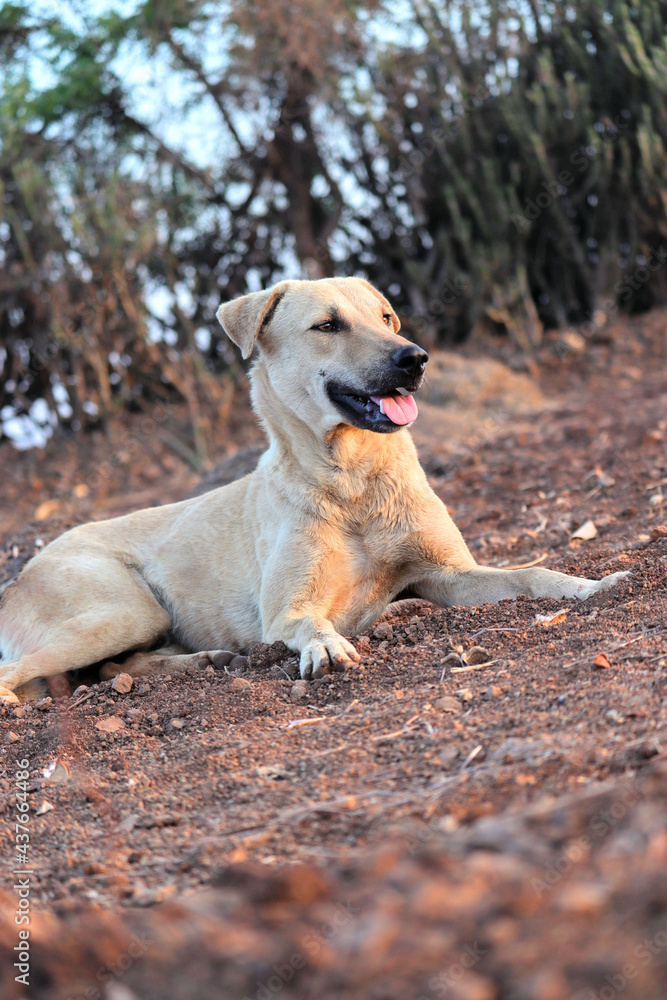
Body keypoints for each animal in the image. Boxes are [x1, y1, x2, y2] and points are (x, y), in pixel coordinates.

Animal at [0, 276, 628, 704]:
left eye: (387, 317)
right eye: (328, 326)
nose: (416, 358)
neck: (353, 481)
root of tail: (24, 570)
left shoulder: (448, 575)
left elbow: (532, 573)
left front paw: (592, 585)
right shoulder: (287, 612)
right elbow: (308, 623)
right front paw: (326, 646)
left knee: (112, 668)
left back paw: (207, 661)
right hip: (120, 612)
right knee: (33, 671)